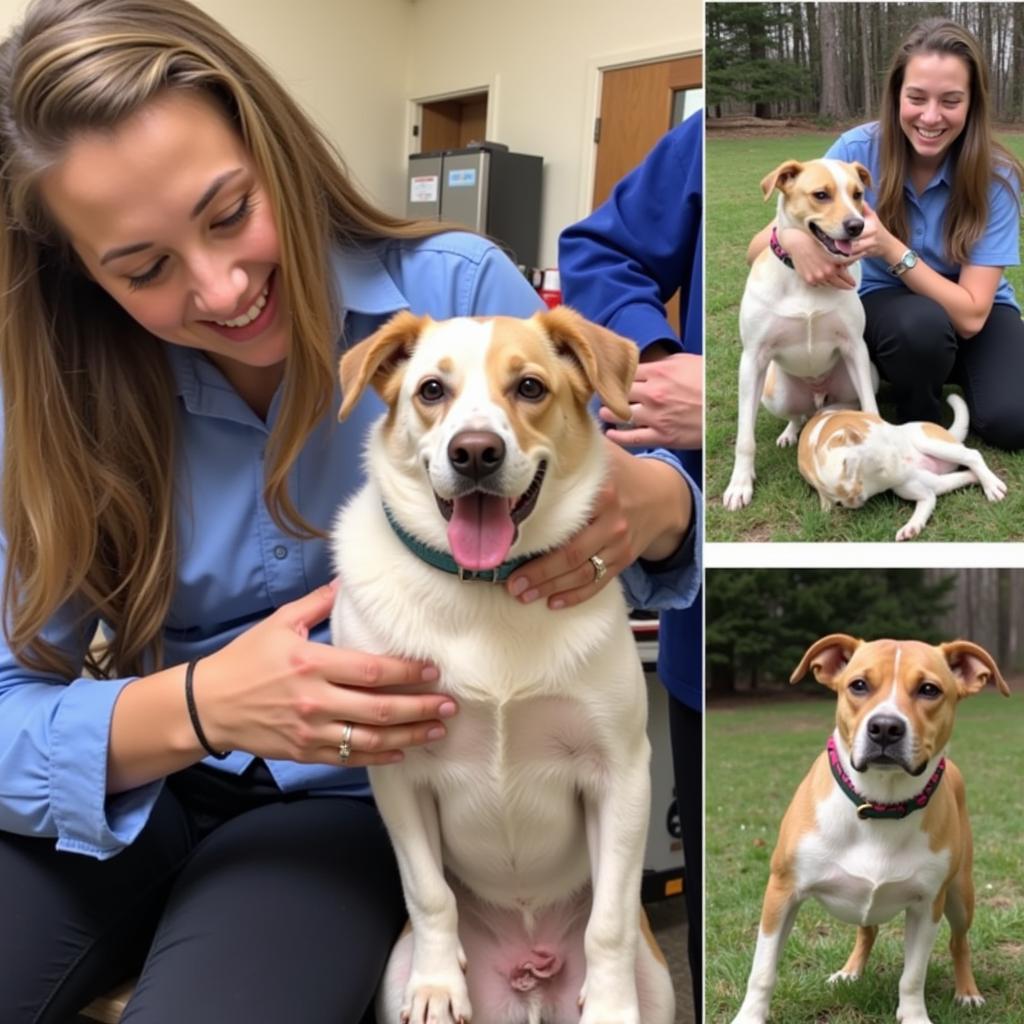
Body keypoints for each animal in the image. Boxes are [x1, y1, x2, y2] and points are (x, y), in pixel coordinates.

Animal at [331, 305, 675, 1024]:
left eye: (530, 388)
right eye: (432, 390)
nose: (475, 453)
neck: (485, 595)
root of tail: (530, 974)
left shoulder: (622, 772)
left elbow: (609, 920)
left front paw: (608, 1004)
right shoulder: (399, 773)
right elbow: (429, 891)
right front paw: (438, 986)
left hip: (657, 980)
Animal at [720, 157, 880, 509]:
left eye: (857, 194)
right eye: (821, 195)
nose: (856, 225)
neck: (806, 280)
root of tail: (817, 394)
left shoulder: (855, 349)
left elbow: (871, 408)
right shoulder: (752, 360)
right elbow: (745, 438)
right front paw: (740, 484)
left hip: (859, 379)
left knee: (836, 407)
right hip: (775, 393)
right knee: (796, 413)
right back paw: (790, 432)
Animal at [733, 630, 1011, 1024]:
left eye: (929, 689)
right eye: (859, 685)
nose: (885, 727)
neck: (880, 805)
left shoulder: (928, 904)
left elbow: (913, 976)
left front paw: (914, 1016)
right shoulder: (782, 892)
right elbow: (763, 969)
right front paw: (750, 1015)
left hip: (960, 894)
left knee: (959, 942)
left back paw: (968, 991)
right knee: (868, 929)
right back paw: (850, 972)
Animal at [794, 391, 1003, 540]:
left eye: (848, 466)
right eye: (838, 499)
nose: (854, 500)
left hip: (929, 443)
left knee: (972, 455)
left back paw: (992, 486)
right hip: (909, 487)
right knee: (930, 497)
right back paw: (911, 527)